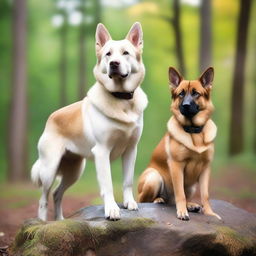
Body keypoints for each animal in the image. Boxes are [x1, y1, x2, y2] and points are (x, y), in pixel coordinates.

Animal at [31, 23, 148, 221]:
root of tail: (51, 118)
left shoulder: (131, 150)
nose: (113, 64)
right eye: (108, 54)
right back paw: (42, 222)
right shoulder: (102, 152)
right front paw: (111, 209)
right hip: (49, 170)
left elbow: (128, 181)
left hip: (74, 171)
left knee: (57, 193)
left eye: (125, 53)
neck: (121, 100)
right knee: (43, 198)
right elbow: (107, 185)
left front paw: (129, 203)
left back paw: (60, 221)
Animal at [138, 67, 220, 220]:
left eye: (196, 93)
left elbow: (205, 195)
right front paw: (182, 212)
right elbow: (180, 193)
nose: (186, 106)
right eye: (181, 94)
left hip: (192, 186)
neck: (194, 132)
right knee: (143, 200)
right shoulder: (176, 166)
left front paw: (209, 213)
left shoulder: (206, 168)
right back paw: (159, 199)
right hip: (154, 178)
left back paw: (190, 205)